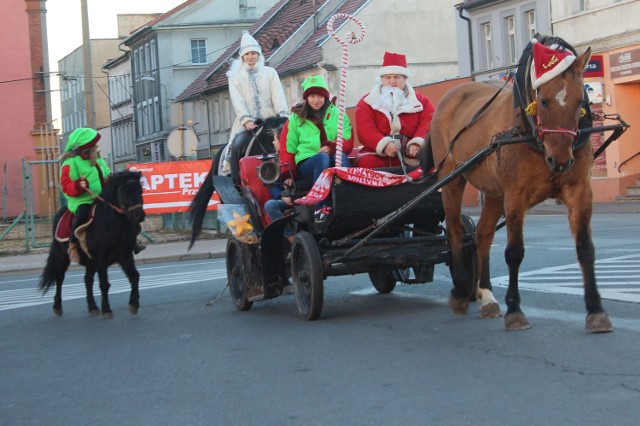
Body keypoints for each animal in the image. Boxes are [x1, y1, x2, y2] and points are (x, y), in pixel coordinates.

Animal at [38, 169, 146, 316]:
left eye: (140, 190)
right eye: (124, 192)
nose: (140, 216)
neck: (112, 224)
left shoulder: (125, 255)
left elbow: (134, 276)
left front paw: (134, 303)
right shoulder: (100, 259)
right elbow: (104, 284)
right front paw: (106, 309)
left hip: (89, 261)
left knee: (87, 280)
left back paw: (93, 307)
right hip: (63, 256)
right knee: (59, 277)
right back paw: (57, 306)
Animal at [428, 35, 612, 332]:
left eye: (579, 102)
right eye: (544, 101)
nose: (561, 160)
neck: (532, 133)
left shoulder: (580, 191)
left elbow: (585, 248)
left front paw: (595, 309)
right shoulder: (516, 195)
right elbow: (514, 252)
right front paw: (514, 309)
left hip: (493, 192)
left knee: (482, 234)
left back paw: (487, 296)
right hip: (452, 178)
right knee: (455, 229)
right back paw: (461, 288)